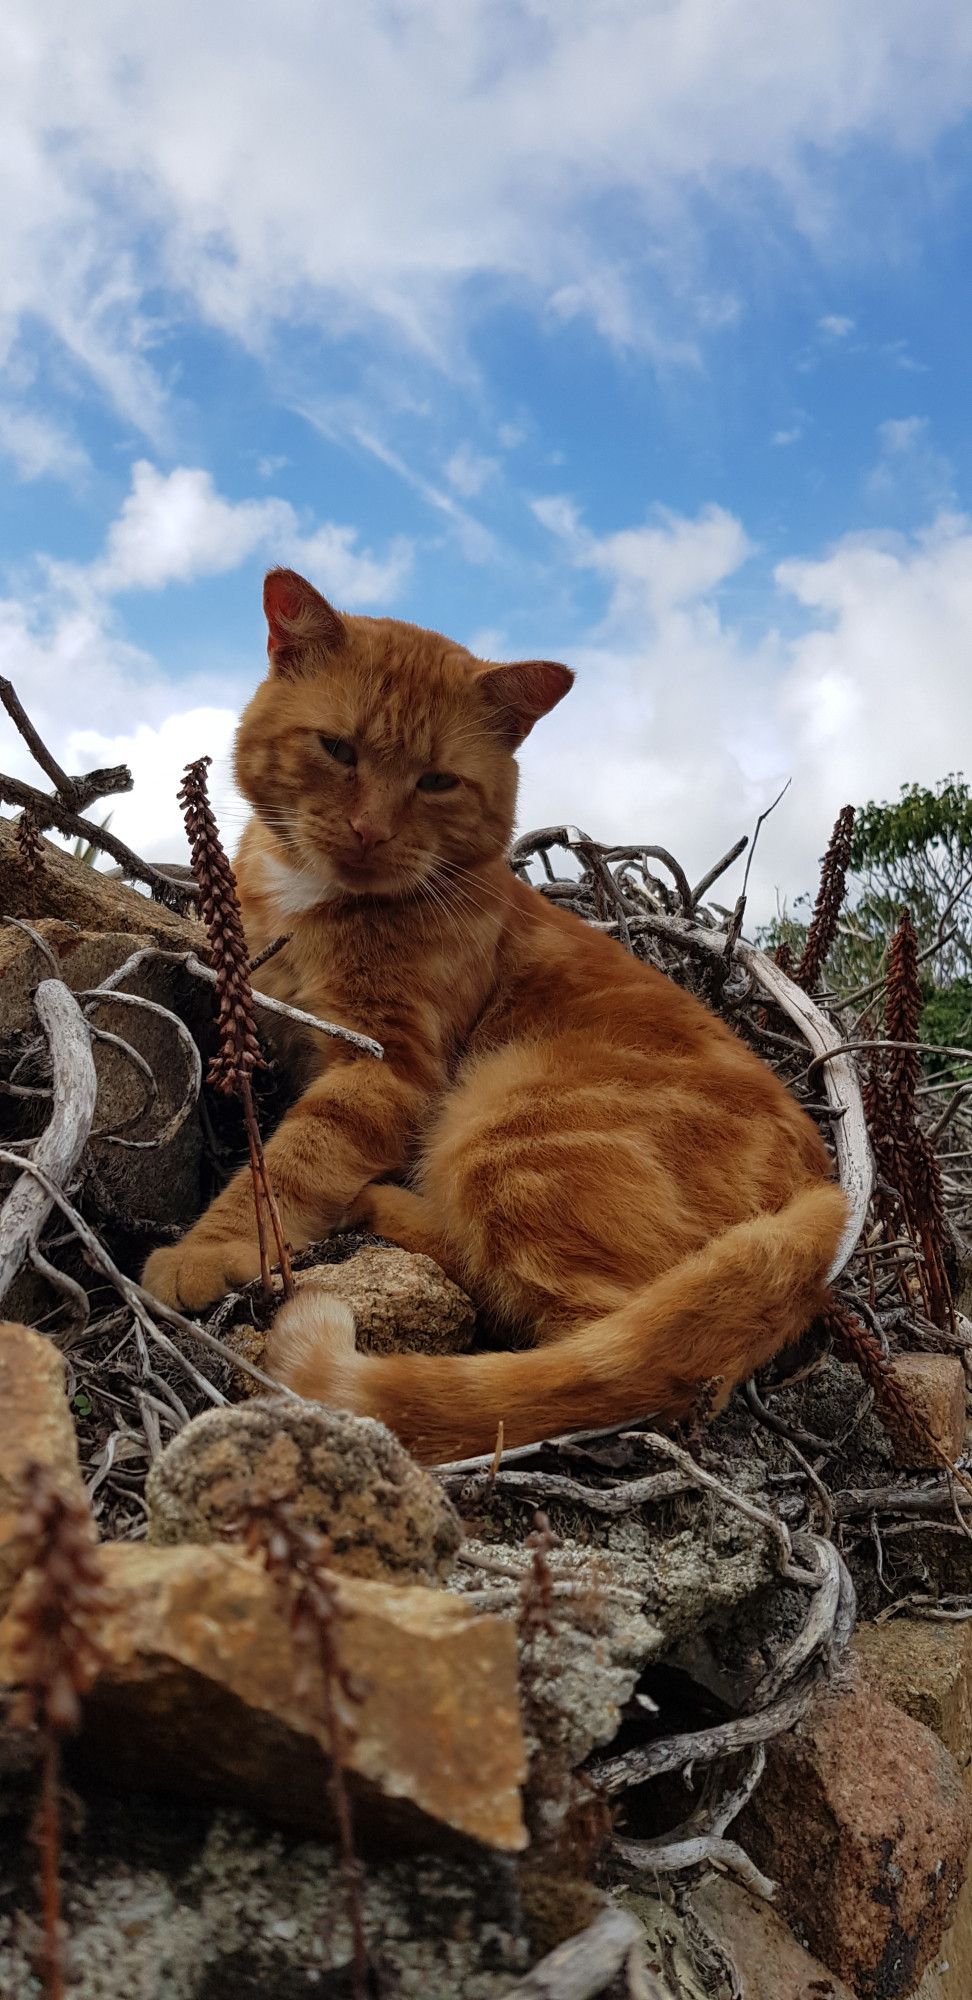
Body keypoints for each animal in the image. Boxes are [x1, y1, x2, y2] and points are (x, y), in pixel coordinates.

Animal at [140, 572, 848, 1464]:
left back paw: (387, 1208)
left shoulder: (388, 1067)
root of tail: (826, 1187)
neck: (313, 905)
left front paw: (208, 1249)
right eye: (338, 749)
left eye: (436, 782)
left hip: (506, 1123)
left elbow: (295, 1159)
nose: (369, 831)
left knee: (588, 1348)